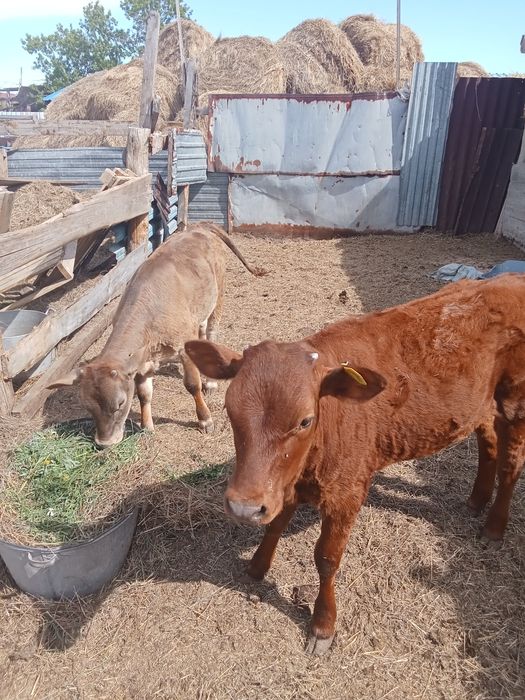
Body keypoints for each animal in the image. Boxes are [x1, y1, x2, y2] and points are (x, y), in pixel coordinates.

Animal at [47, 222, 265, 447]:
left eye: (120, 403)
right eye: (88, 407)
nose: (104, 443)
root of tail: (199, 227)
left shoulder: (182, 347)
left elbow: (192, 385)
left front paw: (205, 420)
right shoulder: (142, 361)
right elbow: (144, 394)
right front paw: (147, 428)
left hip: (219, 292)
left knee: (212, 330)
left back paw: (211, 382)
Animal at [185, 274, 525, 655]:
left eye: (305, 420)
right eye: (230, 409)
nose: (243, 508)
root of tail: (510, 279)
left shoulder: (345, 493)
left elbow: (326, 558)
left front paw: (323, 625)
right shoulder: (283, 485)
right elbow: (275, 525)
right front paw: (257, 567)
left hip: (516, 400)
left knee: (511, 462)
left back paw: (494, 527)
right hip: (481, 405)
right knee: (488, 441)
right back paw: (476, 500)